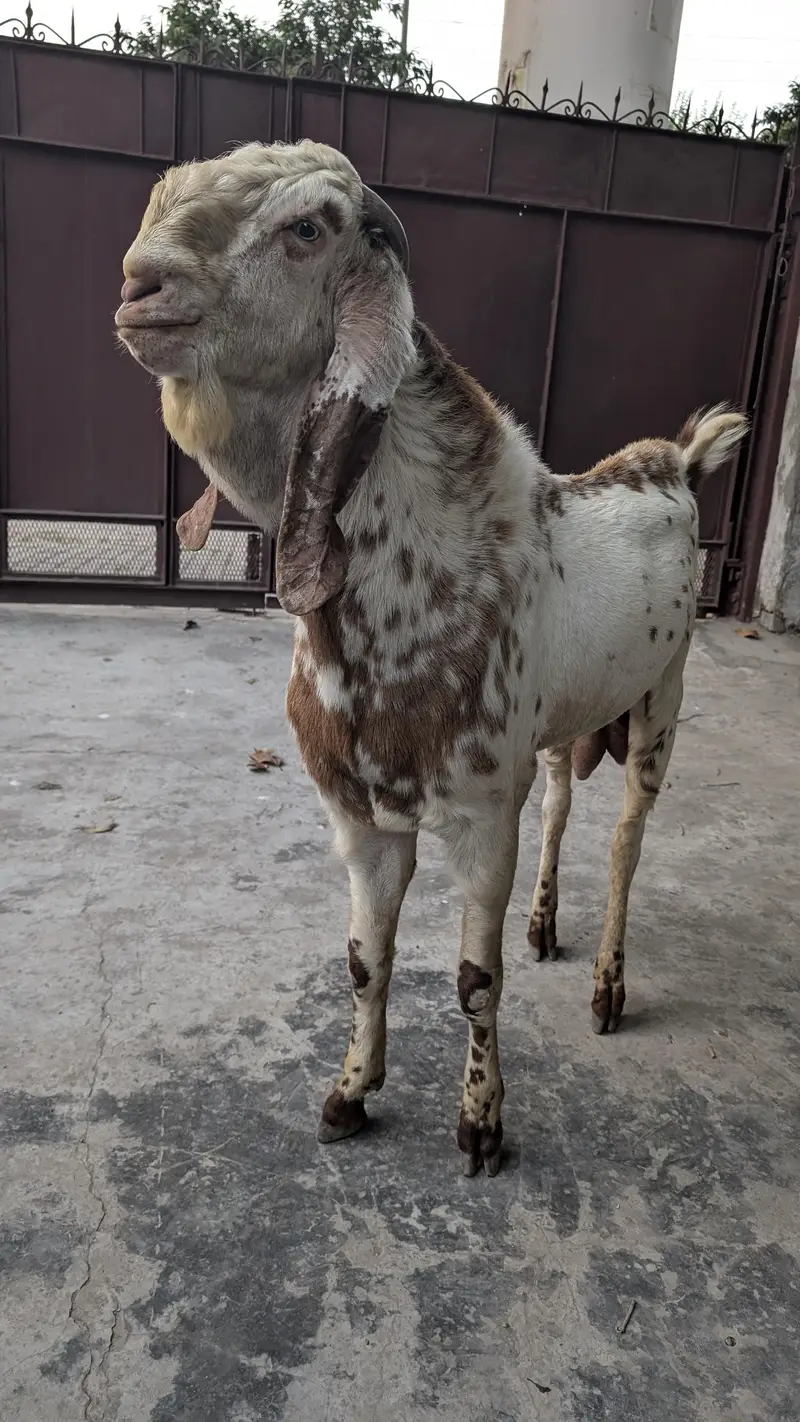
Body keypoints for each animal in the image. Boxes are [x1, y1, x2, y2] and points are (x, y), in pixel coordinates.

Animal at [115, 140, 747, 1177]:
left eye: (306, 229)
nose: (140, 286)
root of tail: (681, 463)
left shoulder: (482, 817)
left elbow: (473, 978)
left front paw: (482, 1125)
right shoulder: (360, 819)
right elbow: (365, 959)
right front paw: (348, 1094)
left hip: (664, 696)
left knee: (627, 839)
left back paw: (608, 987)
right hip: (562, 728)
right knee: (564, 803)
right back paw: (546, 923)